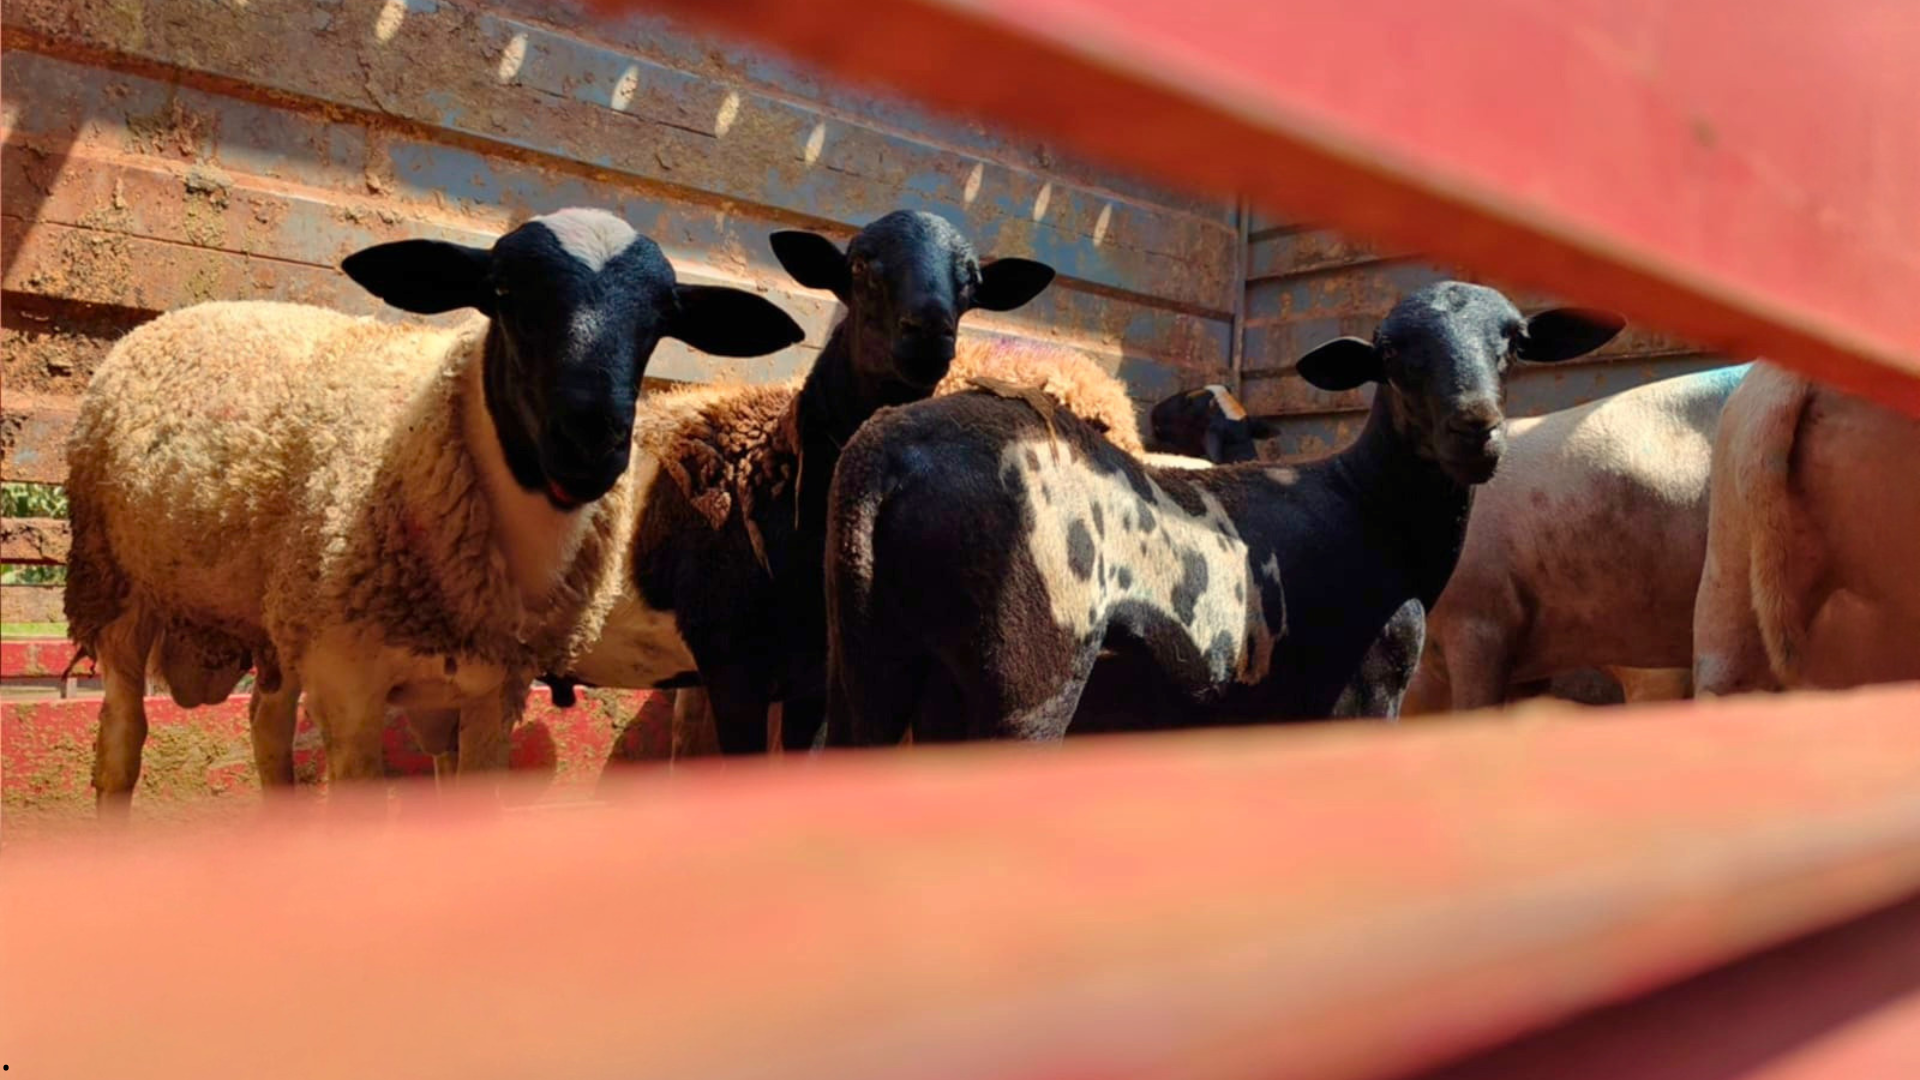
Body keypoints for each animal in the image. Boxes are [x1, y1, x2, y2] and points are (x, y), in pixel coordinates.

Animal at [63, 209, 804, 811]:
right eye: (502, 294)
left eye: (662, 319)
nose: (591, 442)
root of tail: (181, 313)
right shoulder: (350, 685)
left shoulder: (489, 692)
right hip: (118, 590)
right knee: (123, 744)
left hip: (281, 620)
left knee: (266, 731)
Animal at [823, 281, 1624, 743]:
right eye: (1393, 355)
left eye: (1513, 342)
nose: (1474, 429)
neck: (1369, 504)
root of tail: (883, 455)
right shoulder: (1368, 688)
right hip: (1025, 679)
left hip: (877, 664)